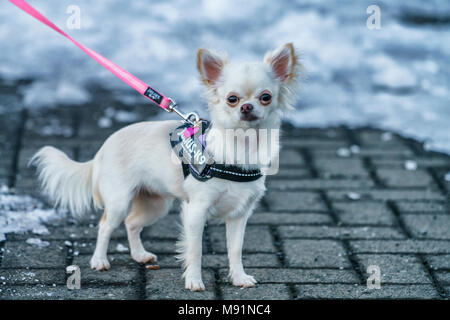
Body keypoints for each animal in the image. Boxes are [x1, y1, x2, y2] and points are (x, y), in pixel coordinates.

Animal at [31, 43, 300, 292]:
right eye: (232, 99)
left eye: (265, 97)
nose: (246, 107)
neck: (241, 147)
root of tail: (102, 150)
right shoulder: (196, 211)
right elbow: (195, 251)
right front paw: (194, 281)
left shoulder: (238, 216)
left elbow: (235, 250)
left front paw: (239, 277)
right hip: (120, 201)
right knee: (105, 225)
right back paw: (99, 260)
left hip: (155, 204)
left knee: (132, 223)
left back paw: (139, 255)